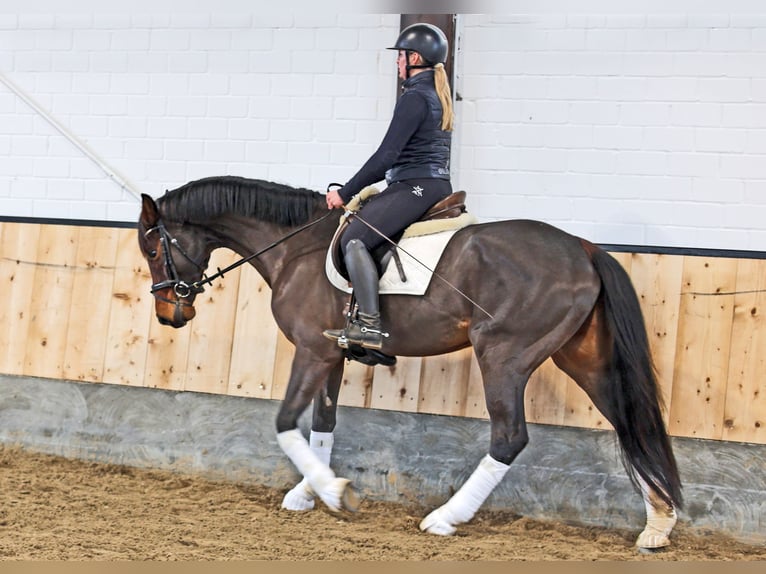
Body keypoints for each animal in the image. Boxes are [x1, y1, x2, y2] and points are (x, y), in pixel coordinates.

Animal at [136, 177, 684, 552]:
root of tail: (584, 249)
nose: (169, 315)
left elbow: (287, 423)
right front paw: (310, 491)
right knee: (632, 423)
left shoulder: (311, 350)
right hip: (582, 358)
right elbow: (324, 422)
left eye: (152, 246)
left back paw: (445, 518)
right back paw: (658, 525)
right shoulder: (331, 353)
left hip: (503, 355)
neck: (296, 248)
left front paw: (332, 492)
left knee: (510, 437)